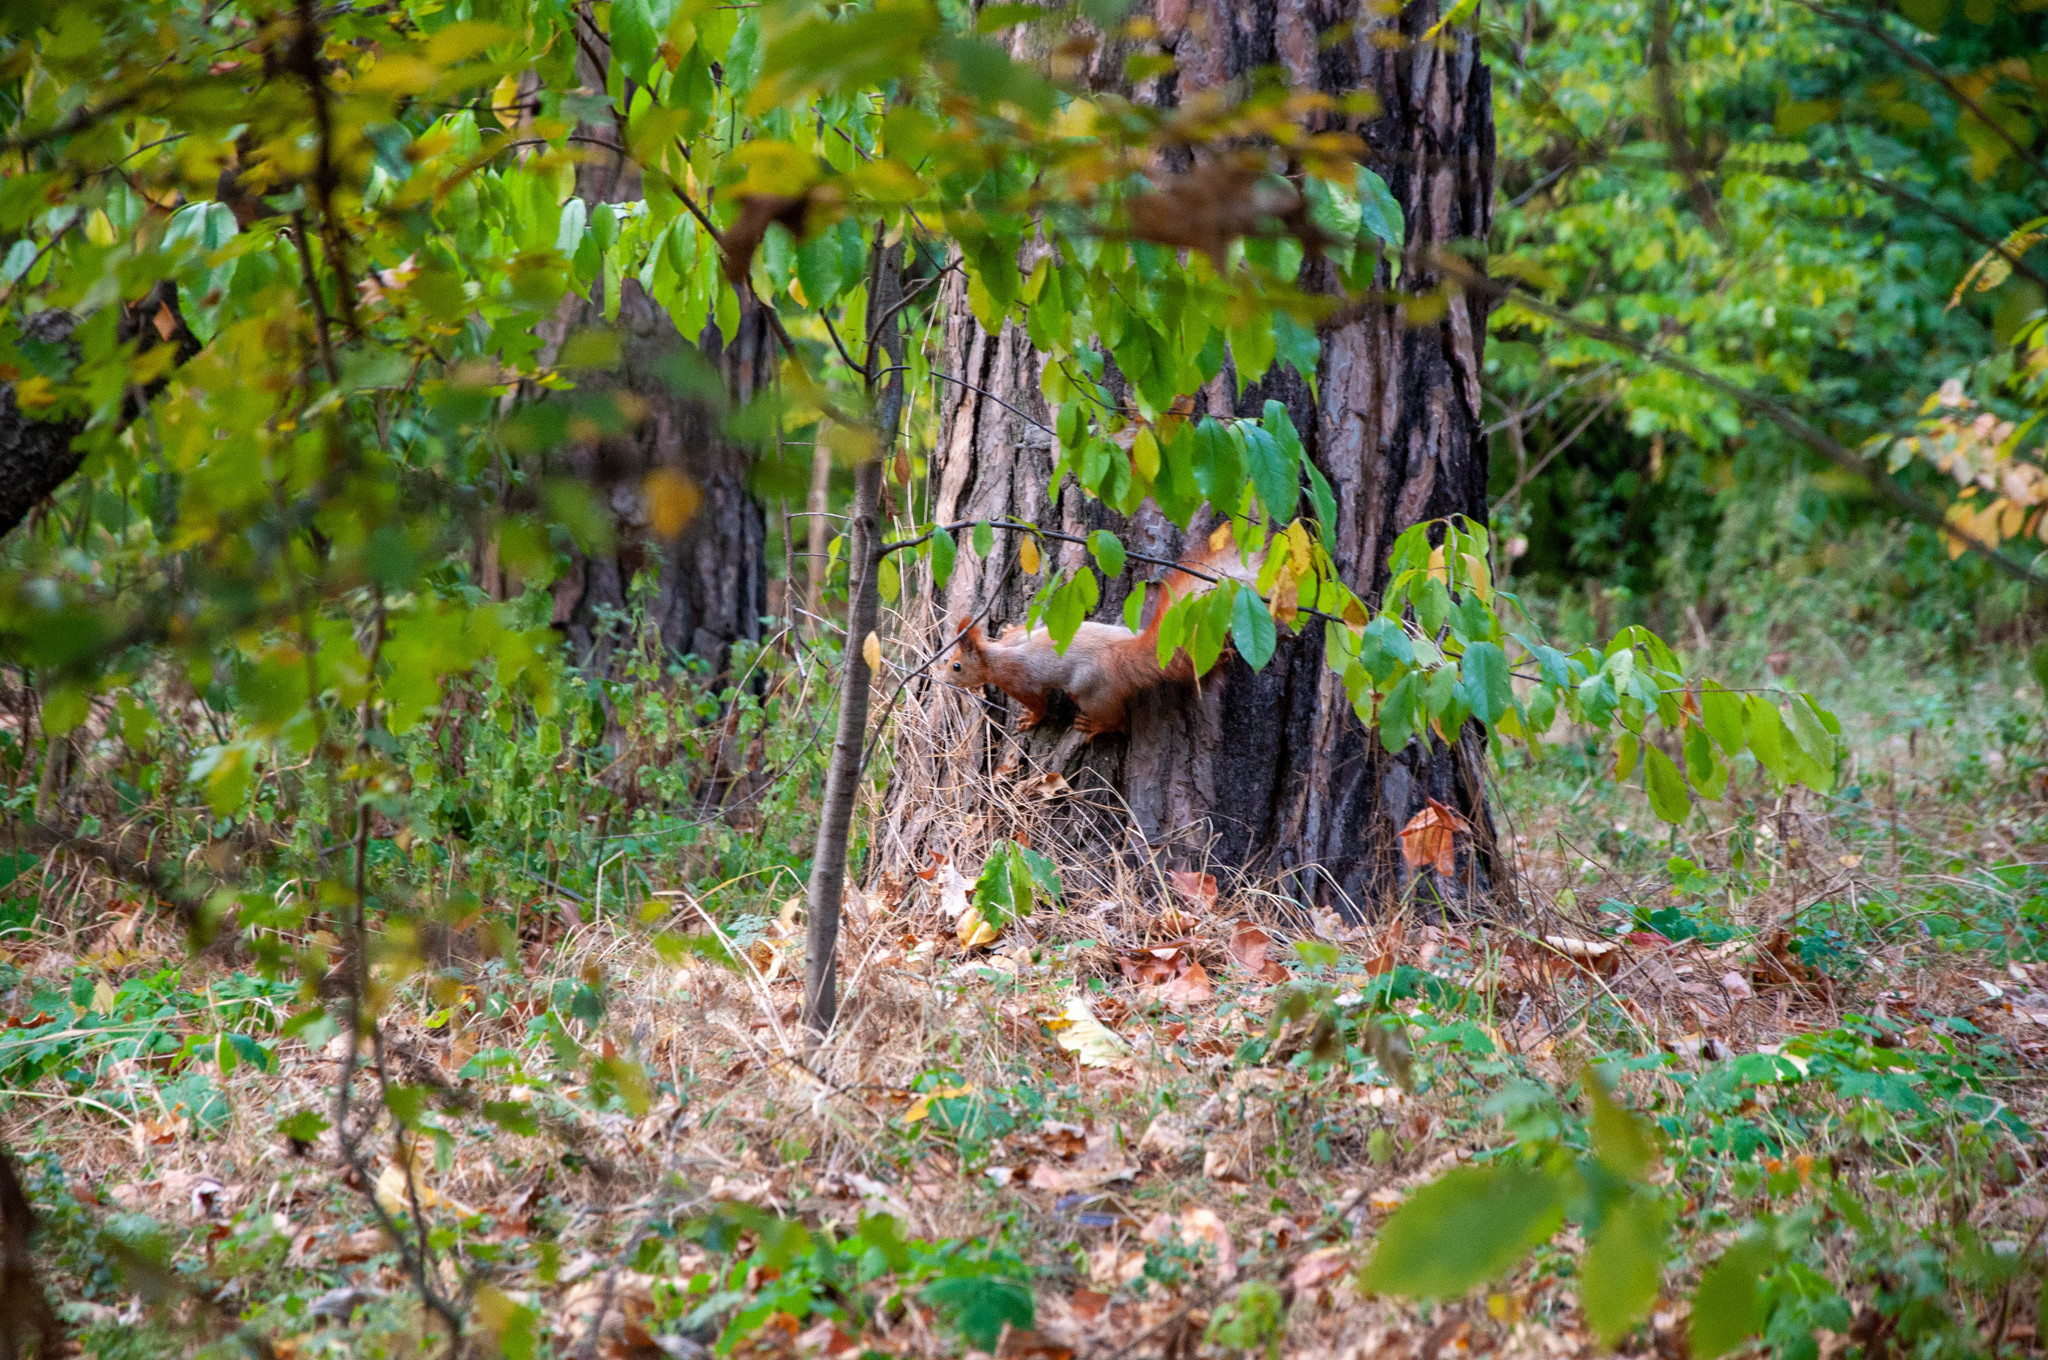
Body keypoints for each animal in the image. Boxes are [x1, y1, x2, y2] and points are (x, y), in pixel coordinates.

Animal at [946, 532, 1261, 737]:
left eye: (956, 666)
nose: (945, 680)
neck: (995, 656)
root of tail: (1120, 653)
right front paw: (1010, 627)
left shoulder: (1018, 682)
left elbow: (1038, 704)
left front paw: (1031, 720)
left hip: (1092, 692)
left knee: (1119, 722)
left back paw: (1096, 726)